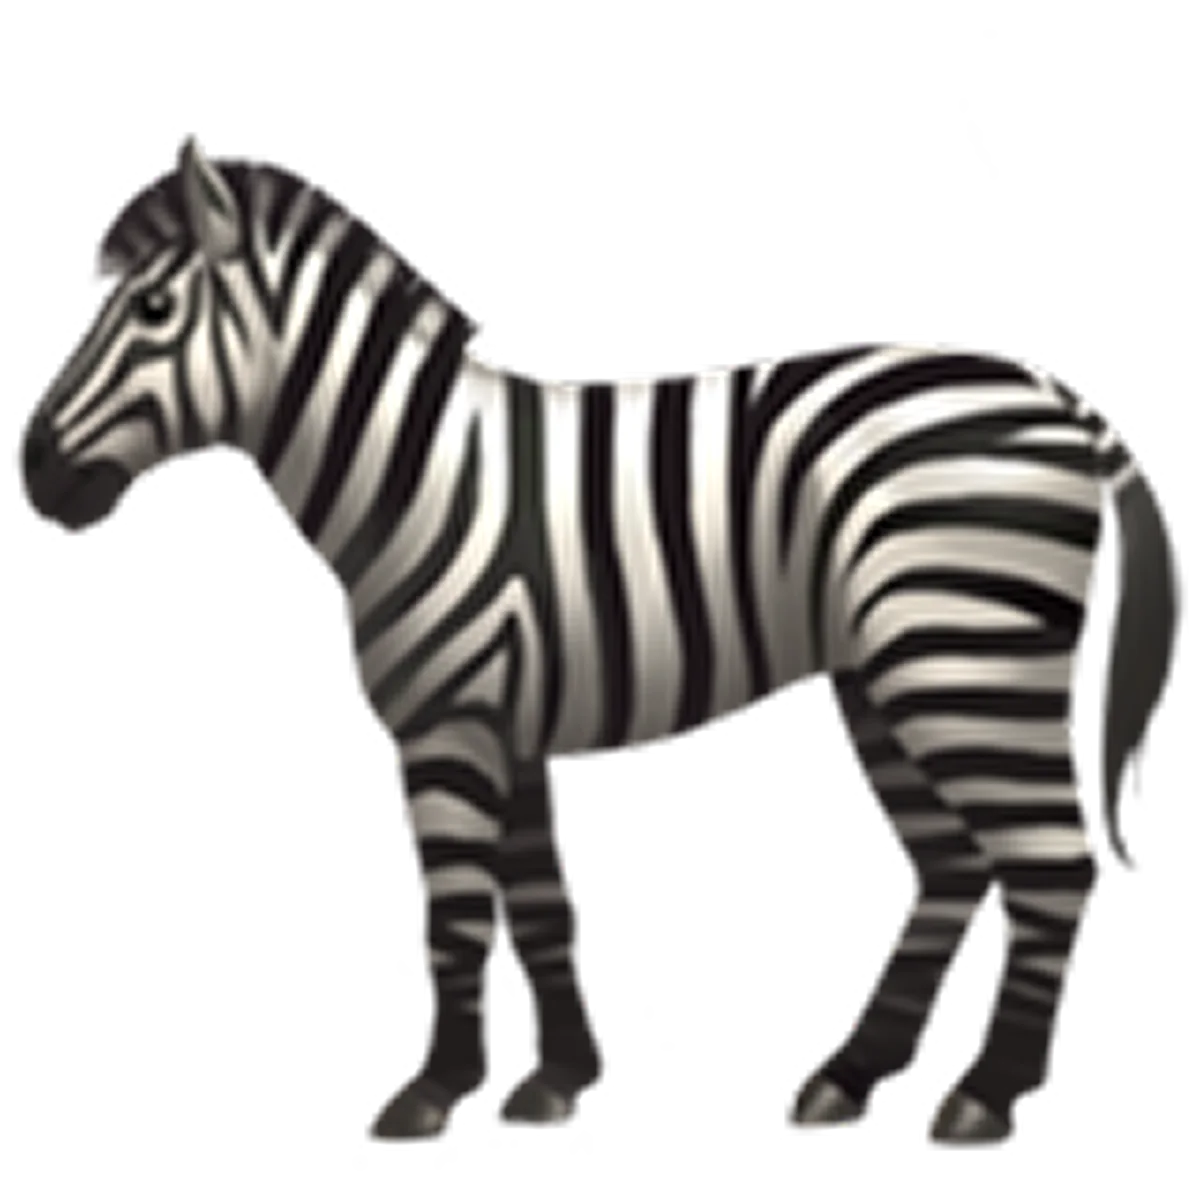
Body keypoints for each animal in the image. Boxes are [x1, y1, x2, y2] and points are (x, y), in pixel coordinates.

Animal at [14, 135, 1185, 1149]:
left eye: (153, 308)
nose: (32, 475)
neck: (415, 479)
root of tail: (1060, 400)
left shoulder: (448, 730)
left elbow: (454, 916)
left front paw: (431, 1096)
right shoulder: (510, 729)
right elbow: (540, 910)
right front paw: (558, 1083)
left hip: (969, 655)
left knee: (1053, 863)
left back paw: (984, 1102)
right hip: (890, 674)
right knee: (949, 871)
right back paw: (846, 1083)